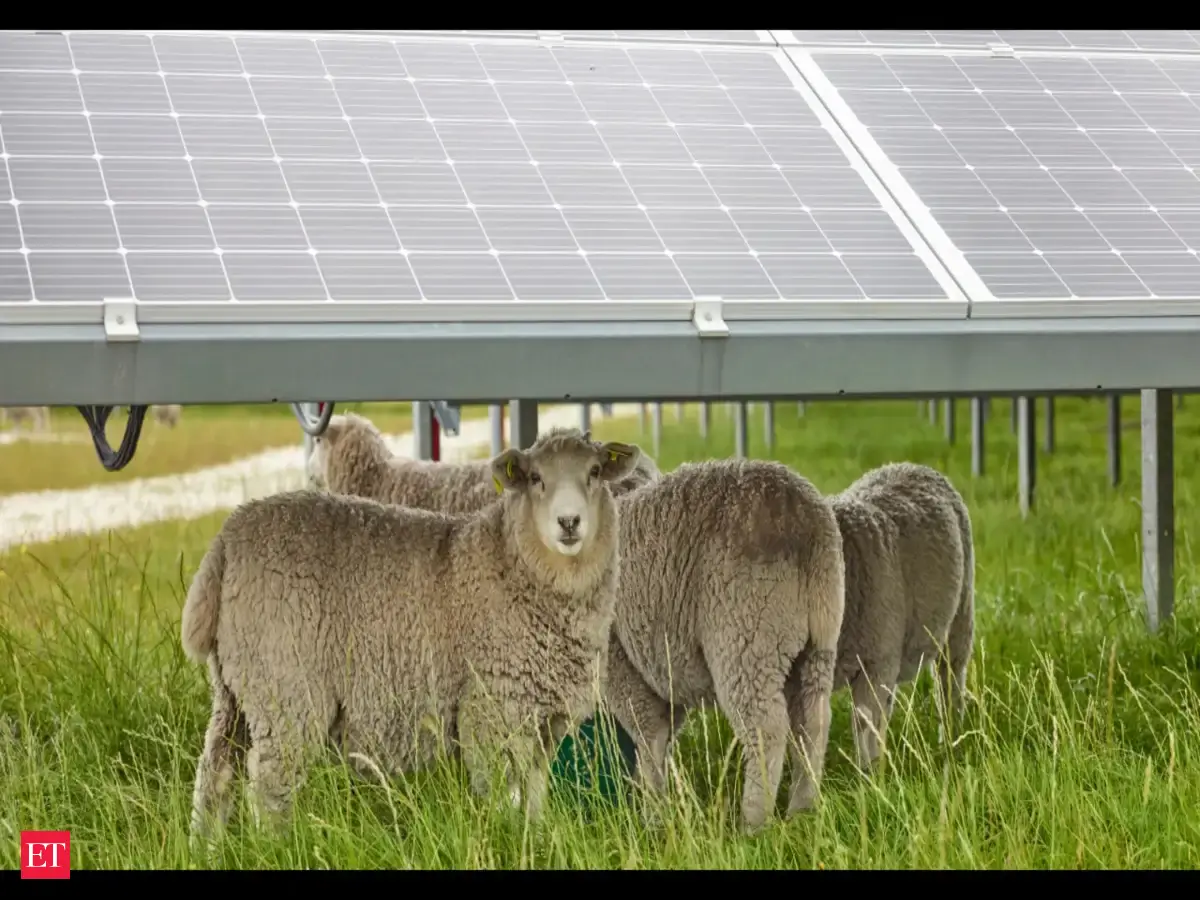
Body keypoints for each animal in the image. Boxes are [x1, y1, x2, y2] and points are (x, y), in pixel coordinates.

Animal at [181, 427, 644, 844]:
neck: (510, 563)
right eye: (535, 478)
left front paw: (537, 839)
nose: (569, 522)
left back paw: (206, 847)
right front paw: (507, 841)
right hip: (286, 687)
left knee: (215, 774)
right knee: (269, 786)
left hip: (237, 687)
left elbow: (532, 795)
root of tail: (228, 538)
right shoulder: (489, 710)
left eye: (595, 471)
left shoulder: (541, 720)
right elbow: (501, 796)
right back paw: (276, 847)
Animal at [828, 461, 975, 772]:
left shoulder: (875, 665)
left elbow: (865, 727)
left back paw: (951, 738)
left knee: (950, 681)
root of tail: (909, 465)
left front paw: (870, 778)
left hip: (959, 617)